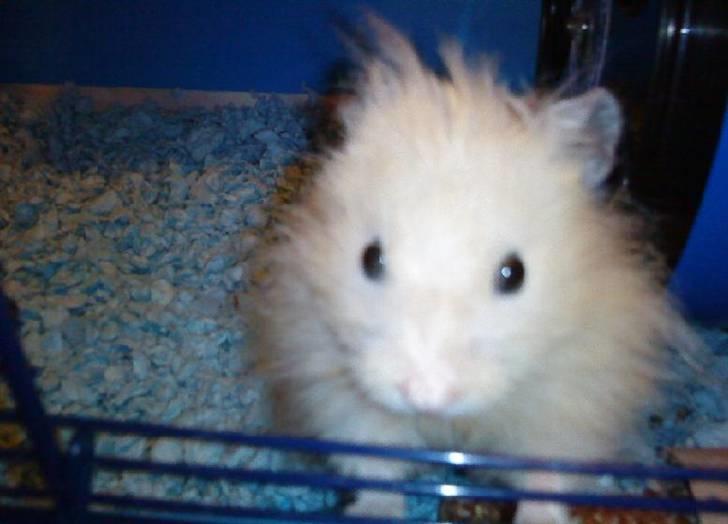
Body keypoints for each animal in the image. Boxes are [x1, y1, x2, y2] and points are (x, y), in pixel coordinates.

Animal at [251, 16, 695, 523]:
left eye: (514, 273)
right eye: (370, 258)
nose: (428, 395)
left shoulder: (574, 395)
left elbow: (546, 475)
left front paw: (537, 518)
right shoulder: (331, 379)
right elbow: (375, 463)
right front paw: (377, 511)